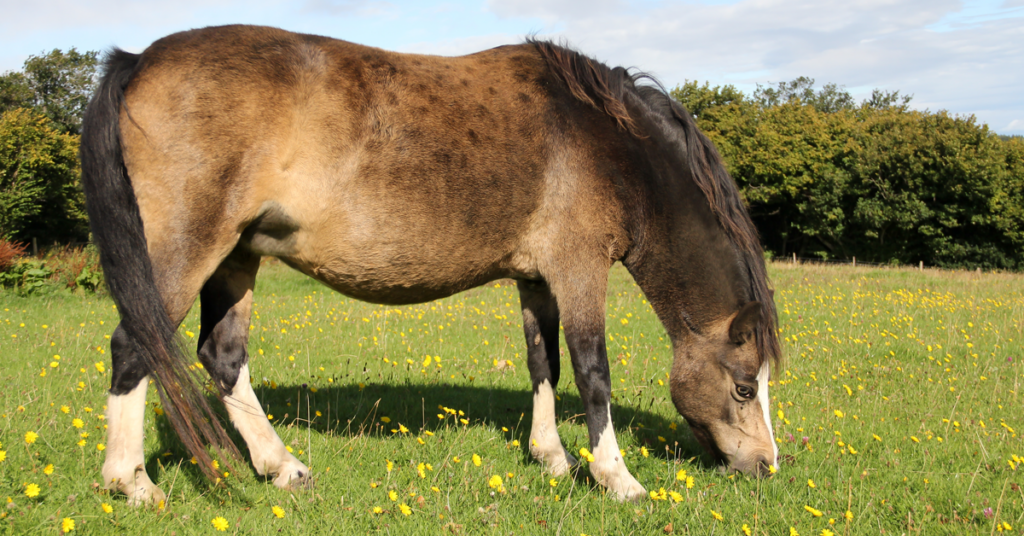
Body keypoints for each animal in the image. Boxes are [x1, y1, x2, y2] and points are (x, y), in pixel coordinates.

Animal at [79, 24, 780, 505]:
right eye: (745, 388)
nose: (768, 465)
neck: (603, 140)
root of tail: (137, 62)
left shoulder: (536, 278)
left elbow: (544, 365)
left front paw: (551, 458)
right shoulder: (579, 270)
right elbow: (592, 372)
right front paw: (616, 477)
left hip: (237, 257)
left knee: (222, 356)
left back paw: (282, 466)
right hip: (187, 250)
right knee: (134, 346)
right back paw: (131, 482)